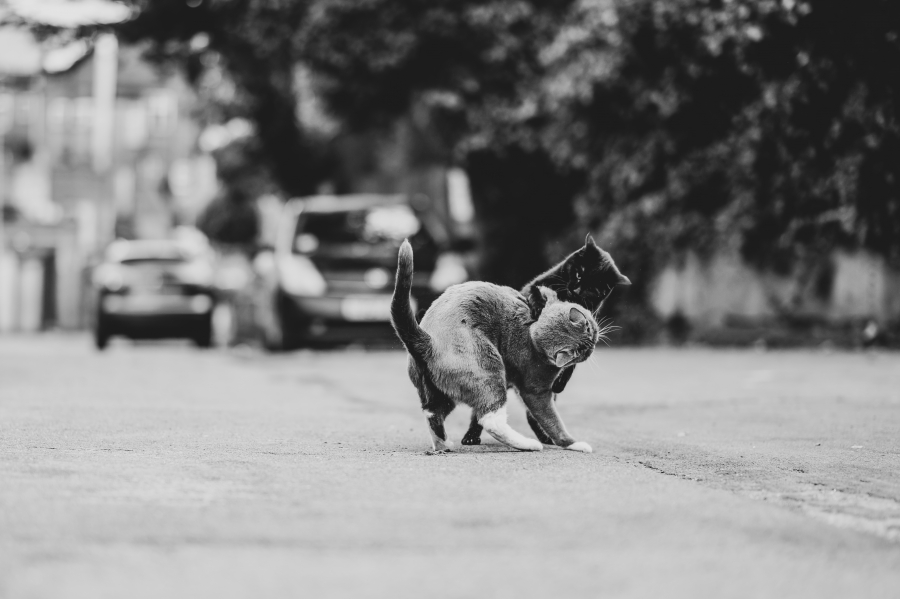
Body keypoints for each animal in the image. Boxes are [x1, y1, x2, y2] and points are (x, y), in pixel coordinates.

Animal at [391, 239, 599, 453]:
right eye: (582, 349)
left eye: (589, 330)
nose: (592, 343)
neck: (533, 329)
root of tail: (428, 341)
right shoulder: (536, 390)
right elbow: (552, 421)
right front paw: (574, 443)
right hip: (489, 370)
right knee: (490, 419)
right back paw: (529, 444)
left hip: (439, 394)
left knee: (432, 413)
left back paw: (444, 444)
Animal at [462, 234, 631, 446]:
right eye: (579, 273)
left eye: (593, 288)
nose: (576, 288)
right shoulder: (535, 286)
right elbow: (534, 294)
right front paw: (536, 308)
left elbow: (571, 365)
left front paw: (560, 383)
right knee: (483, 409)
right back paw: (471, 436)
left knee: (533, 415)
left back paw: (546, 437)